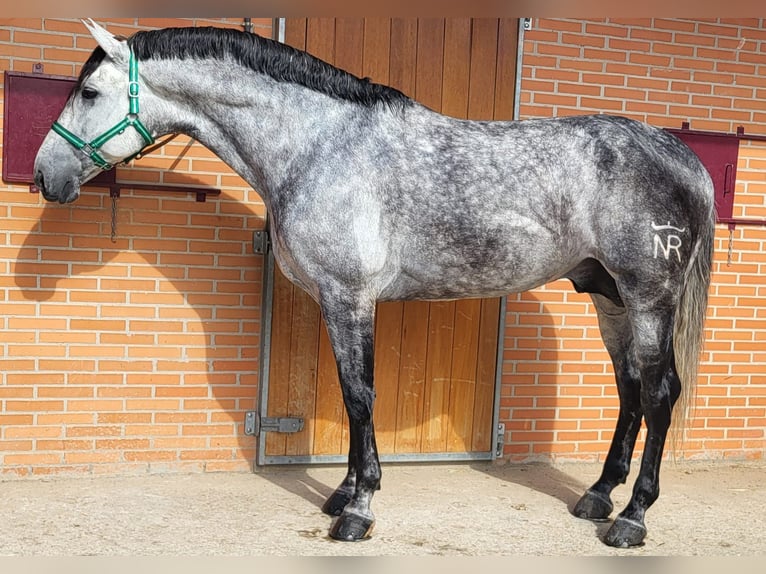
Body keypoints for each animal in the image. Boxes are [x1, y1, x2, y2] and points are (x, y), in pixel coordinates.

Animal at [33, 20, 715, 548]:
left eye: (89, 91)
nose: (45, 175)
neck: (317, 145)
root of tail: (679, 156)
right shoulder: (340, 301)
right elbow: (348, 398)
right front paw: (345, 492)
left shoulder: (348, 296)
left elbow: (359, 396)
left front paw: (357, 512)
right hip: (610, 298)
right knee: (630, 392)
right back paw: (598, 496)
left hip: (648, 296)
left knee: (660, 394)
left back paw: (631, 519)